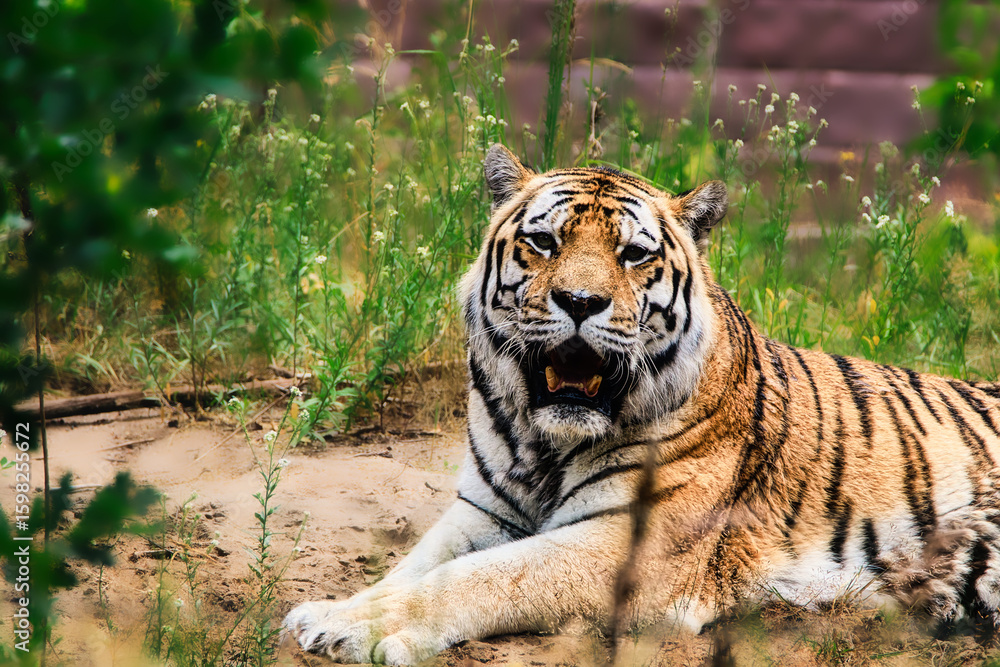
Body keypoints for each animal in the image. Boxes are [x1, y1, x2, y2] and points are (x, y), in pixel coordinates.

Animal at [283, 144, 1000, 665]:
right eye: (545, 242)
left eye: (633, 255)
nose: (579, 301)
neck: (543, 443)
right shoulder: (483, 509)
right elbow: (413, 567)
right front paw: (335, 611)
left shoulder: (628, 544)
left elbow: (480, 578)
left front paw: (356, 628)